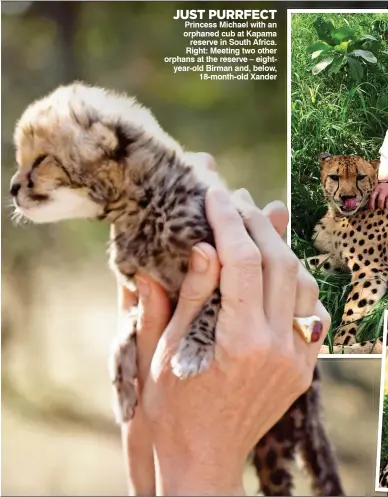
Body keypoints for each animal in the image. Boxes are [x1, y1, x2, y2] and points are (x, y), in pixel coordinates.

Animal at [304, 153, 386, 354]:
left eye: (361, 177)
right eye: (335, 177)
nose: (347, 197)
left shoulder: (371, 271)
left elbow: (352, 309)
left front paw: (341, 339)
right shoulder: (336, 259)